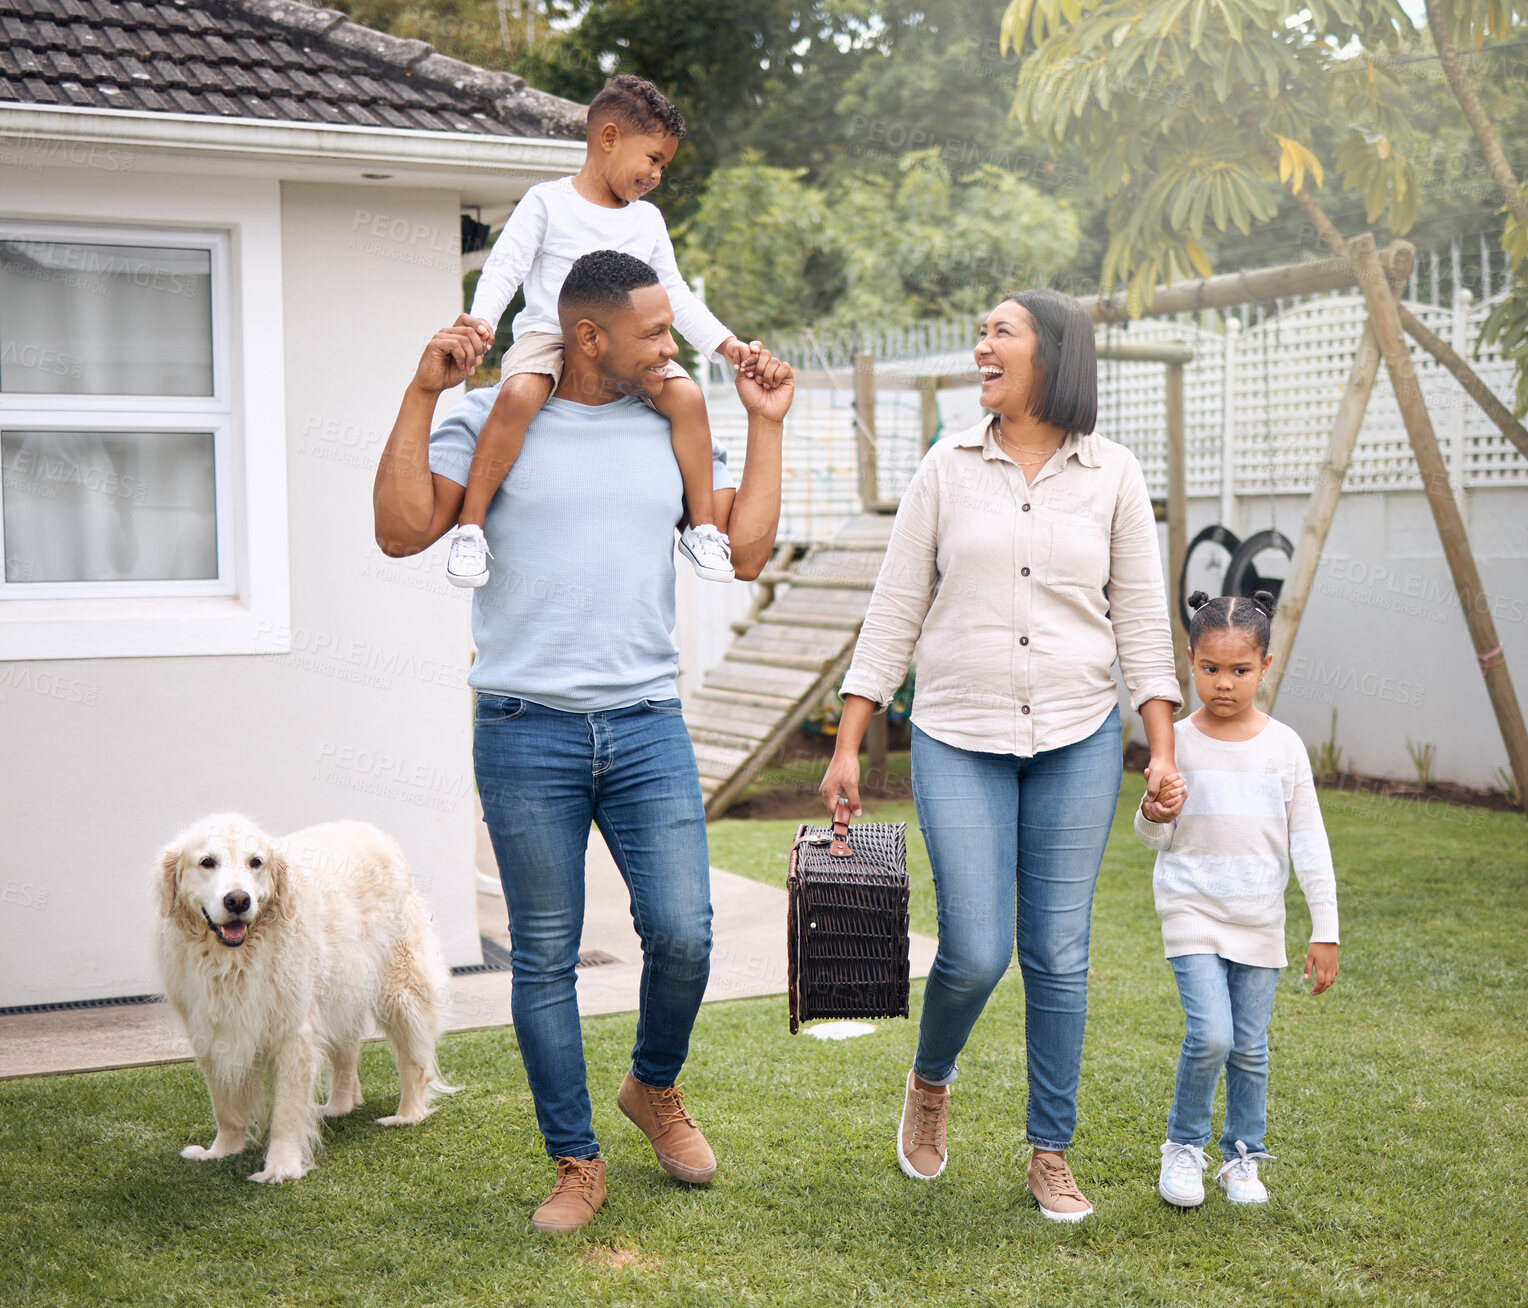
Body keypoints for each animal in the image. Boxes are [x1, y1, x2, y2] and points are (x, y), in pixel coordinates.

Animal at [155, 812, 452, 1179]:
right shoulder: (211, 1032)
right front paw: (222, 1151)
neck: (234, 960)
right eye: (207, 862)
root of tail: (372, 830)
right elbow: (225, 1105)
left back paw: (407, 1115)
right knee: (347, 1053)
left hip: (399, 989)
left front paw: (281, 1167)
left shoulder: (292, 1034)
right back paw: (339, 1106)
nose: (238, 900)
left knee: (414, 1062)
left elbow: (286, 1109)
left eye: (256, 862)